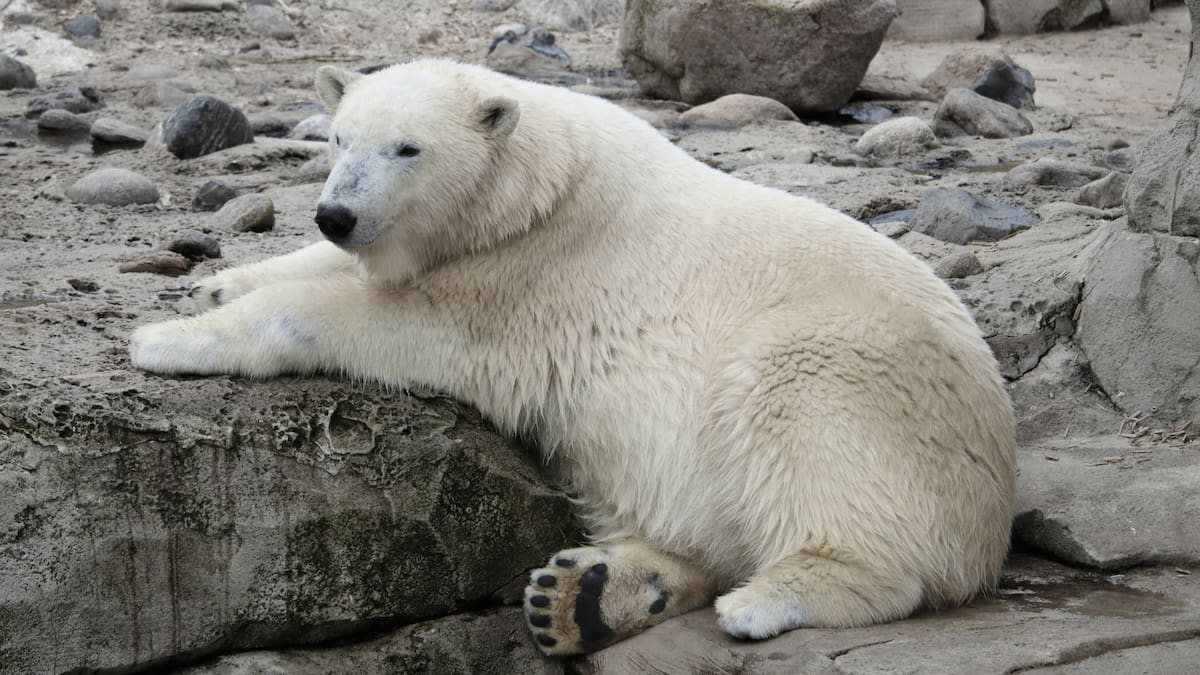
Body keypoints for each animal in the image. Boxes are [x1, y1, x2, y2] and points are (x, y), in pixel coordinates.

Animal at [130, 59, 1017, 656]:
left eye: (408, 148)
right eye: (341, 137)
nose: (336, 213)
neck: (534, 187)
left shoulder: (527, 282)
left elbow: (389, 321)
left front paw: (165, 339)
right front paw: (217, 280)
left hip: (850, 370)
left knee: (808, 439)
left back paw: (761, 599)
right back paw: (587, 595)